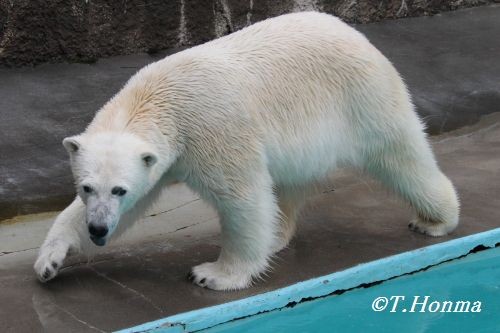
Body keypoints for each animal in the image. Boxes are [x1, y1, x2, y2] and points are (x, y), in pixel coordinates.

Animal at [33, 11, 458, 290]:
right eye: (87, 187)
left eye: (119, 189)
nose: (99, 229)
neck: (158, 97)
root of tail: (353, 31)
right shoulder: (164, 159)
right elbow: (135, 203)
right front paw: (50, 258)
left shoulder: (209, 129)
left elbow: (241, 197)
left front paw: (214, 274)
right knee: (287, 185)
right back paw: (276, 236)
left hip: (362, 97)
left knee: (401, 155)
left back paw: (435, 219)